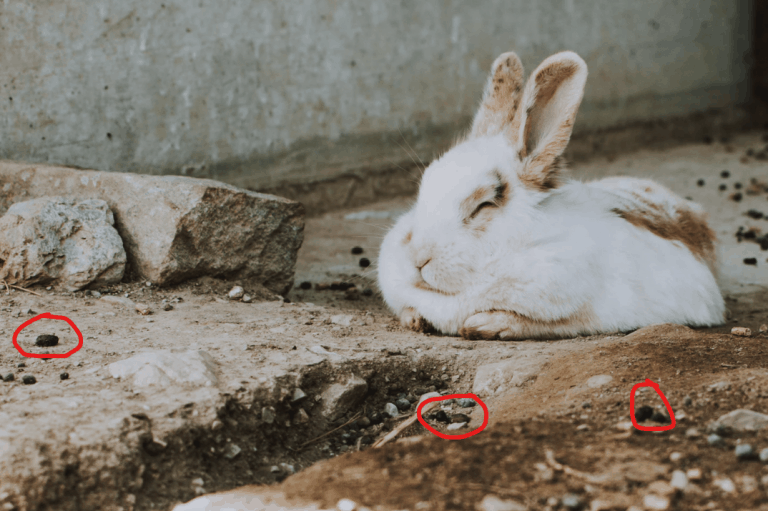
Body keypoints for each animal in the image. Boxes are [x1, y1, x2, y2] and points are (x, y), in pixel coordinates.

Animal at [377, 50, 726, 340]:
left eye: (482, 205)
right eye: (424, 187)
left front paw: (485, 324)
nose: (417, 258)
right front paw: (414, 319)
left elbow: (547, 322)